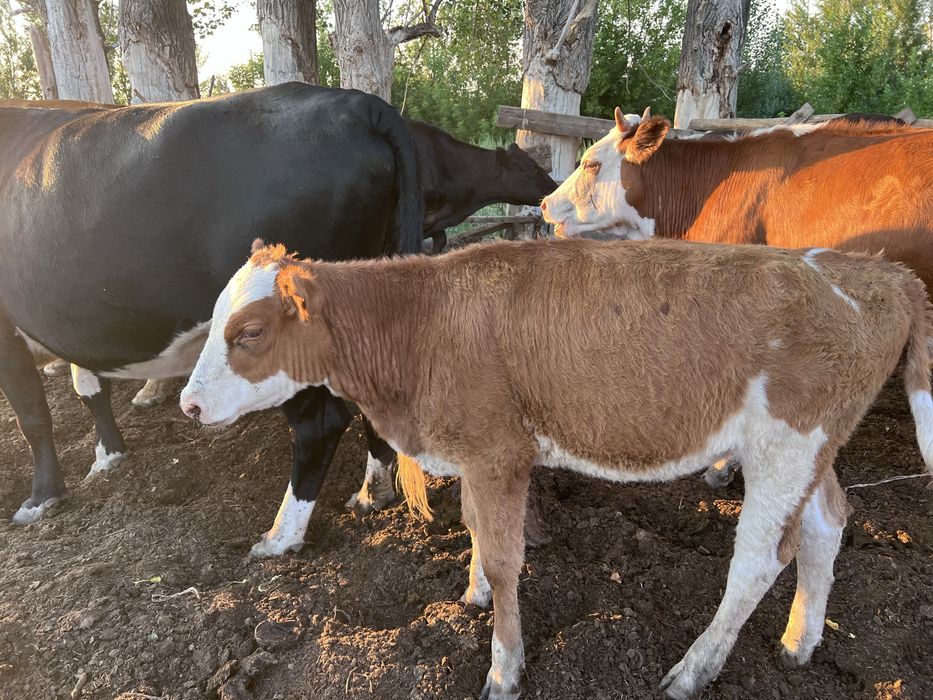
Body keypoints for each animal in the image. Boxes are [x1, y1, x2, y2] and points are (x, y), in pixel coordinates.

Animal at [0, 83, 422, 557]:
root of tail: (355, 101)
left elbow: (33, 416)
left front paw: (41, 498)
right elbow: (88, 388)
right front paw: (108, 456)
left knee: (319, 424)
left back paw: (282, 535)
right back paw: (373, 492)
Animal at [180, 237, 933, 699]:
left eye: (249, 333)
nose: (187, 403)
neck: (424, 321)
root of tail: (874, 271)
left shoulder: (496, 451)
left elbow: (506, 553)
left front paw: (504, 668)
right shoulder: (480, 456)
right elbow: (477, 530)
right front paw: (474, 593)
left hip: (787, 444)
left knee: (757, 559)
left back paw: (692, 671)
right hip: (808, 447)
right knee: (827, 522)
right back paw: (799, 641)